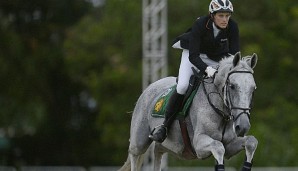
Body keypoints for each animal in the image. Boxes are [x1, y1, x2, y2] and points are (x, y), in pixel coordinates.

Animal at [118, 52, 258, 171]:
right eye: (232, 86)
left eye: (253, 89)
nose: (243, 126)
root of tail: (149, 87)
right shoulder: (199, 144)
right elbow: (218, 147)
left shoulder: (230, 145)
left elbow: (251, 142)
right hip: (138, 143)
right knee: (135, 155)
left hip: (168, 145)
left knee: (158, 151)